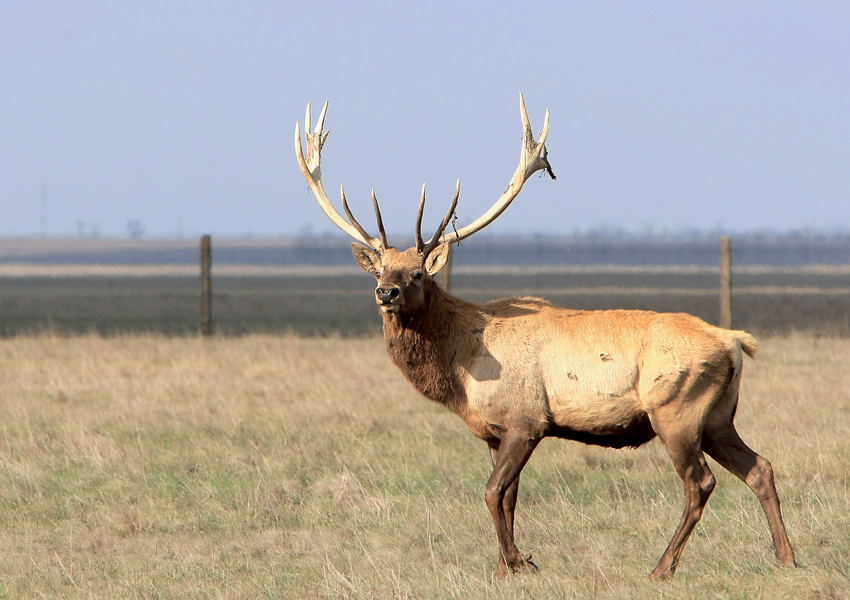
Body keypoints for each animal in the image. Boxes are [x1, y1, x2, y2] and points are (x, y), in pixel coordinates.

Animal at [294, 96, 796, 580]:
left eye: (417, 273)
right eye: (379, 270)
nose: (387, 293)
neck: (462, 372)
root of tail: (734, 341)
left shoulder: (527, 419)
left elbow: (492, 492)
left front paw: (519, 563)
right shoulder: (495, 431)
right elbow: (508, 496)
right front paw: (505, 566)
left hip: (676, 409)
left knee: (700, 483)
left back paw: (662, 567)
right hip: (717, 417)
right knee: (760, 468)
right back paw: (785, 557)